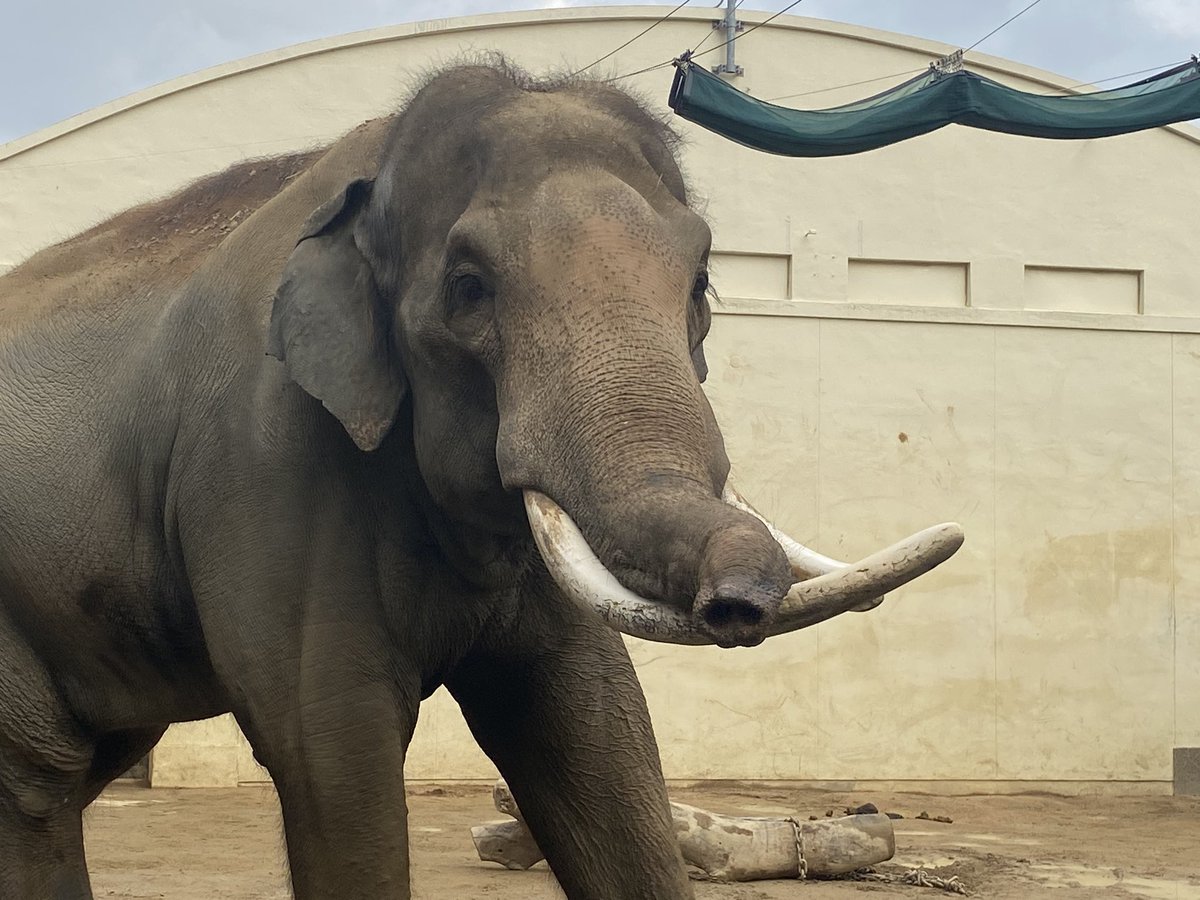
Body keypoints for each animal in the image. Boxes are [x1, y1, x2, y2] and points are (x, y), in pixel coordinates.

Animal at [0, 60, 955, 897]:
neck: (370, 175)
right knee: (39, 782)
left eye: (701, 285)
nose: (736, 606)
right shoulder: (263, 464)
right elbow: (329, 741)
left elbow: (594, 721)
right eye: (468, 288)